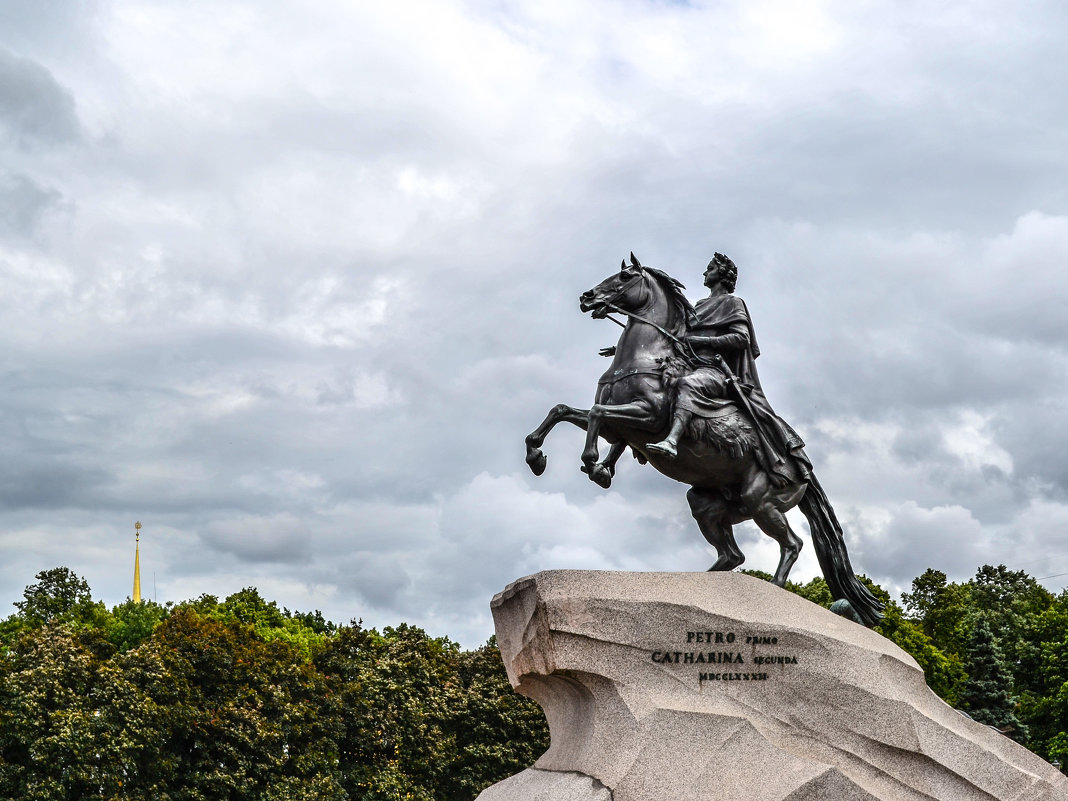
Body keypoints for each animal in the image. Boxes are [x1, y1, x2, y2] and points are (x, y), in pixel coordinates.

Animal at [525, 252, 884, 627]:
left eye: (624, 277)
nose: (587, 297)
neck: (647, 356)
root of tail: (804, 471)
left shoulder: (646, 416)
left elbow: (596, 413)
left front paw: (593, 462)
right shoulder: (618, 425)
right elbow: (563, 410)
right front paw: (538, 456)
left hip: (762, 501)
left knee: (792, 544)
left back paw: (774, 591)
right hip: (708, 504)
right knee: (733, 555)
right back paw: (699, 588)